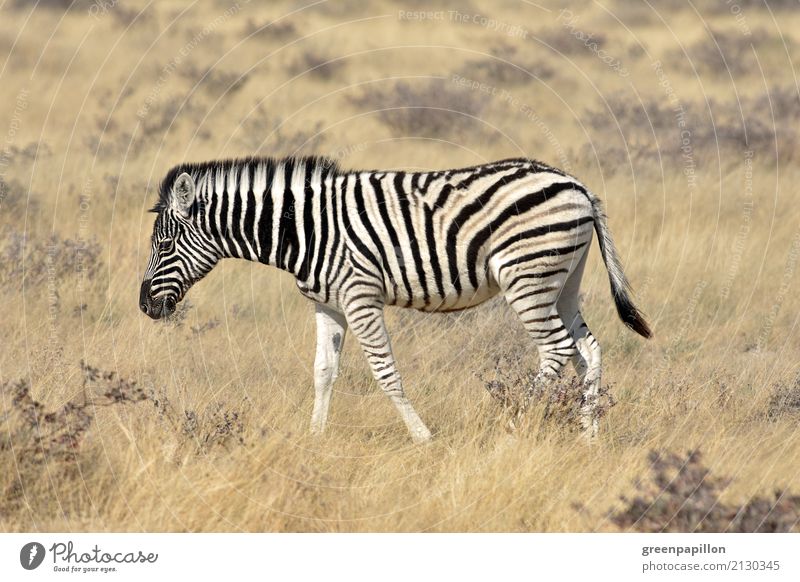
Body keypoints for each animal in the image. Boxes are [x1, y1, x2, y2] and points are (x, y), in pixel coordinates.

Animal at [138, 155, 648, 442]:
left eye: (165, 245)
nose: (144, 307)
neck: (303, 230)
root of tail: (578, 186)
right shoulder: (327, 302)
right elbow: (323, 371)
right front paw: (314, 439)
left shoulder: (360, 295)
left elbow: (386, 374)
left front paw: (423, 437)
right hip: (562, 279)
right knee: (587, 349)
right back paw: (588, 434)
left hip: (526, 276)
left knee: (556, 349)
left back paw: (510, 428)